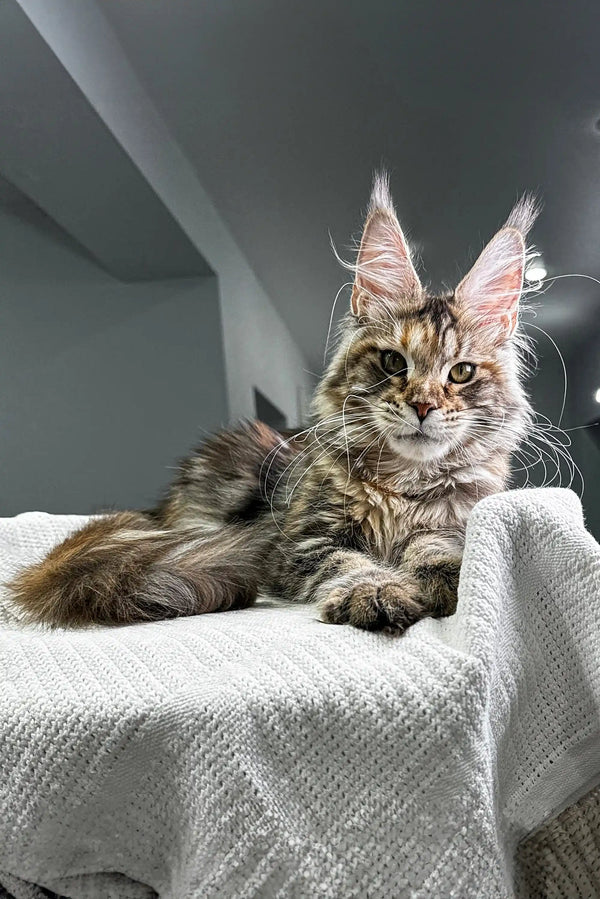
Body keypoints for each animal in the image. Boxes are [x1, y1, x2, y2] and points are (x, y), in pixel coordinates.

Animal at [9, 176, 536, 636]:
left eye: (461, 372)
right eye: (393, 361)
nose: (423, 406)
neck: (402, 491)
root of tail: (158, 508)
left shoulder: (453, 524)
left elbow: (439, 553)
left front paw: (438, 581)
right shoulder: (299, 542)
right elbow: (349, 563)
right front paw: (376, 591)